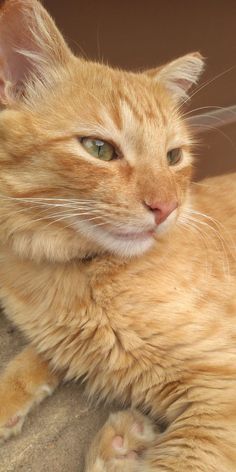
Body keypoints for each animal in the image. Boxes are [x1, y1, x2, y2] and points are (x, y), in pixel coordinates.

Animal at [0, 0, 236, 472]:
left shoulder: (221, 392)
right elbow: (36, 355)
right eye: (99, 149)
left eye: (173, 157)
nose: (167, 208)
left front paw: (120, 447)